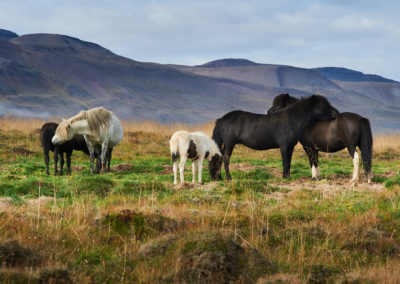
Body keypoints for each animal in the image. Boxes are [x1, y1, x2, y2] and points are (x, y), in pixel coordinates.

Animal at [211, 95, 340, 180]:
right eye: (325, 105)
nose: (337, 114)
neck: (292, 119)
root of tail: (222, 119)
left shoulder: (290, 146)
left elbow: (289, 161)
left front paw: (287, 176)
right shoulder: (285, 146)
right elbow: (285, 161)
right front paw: (285, 177)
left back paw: (219, 177)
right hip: (229, 143)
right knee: (226, 158)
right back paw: (228, 178)